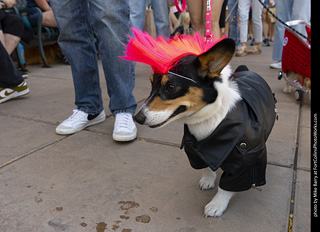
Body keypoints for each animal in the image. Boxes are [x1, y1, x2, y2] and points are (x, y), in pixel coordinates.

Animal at [121, 30, 276, 218]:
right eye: (151, 83)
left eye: (171, 86)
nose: (138, 118)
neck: (208, 118)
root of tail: (247, 70)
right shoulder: (196, 150)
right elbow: (207, 167)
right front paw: (208, 180)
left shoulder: (243, 162)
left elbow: (226, 187)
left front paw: (216, 205)